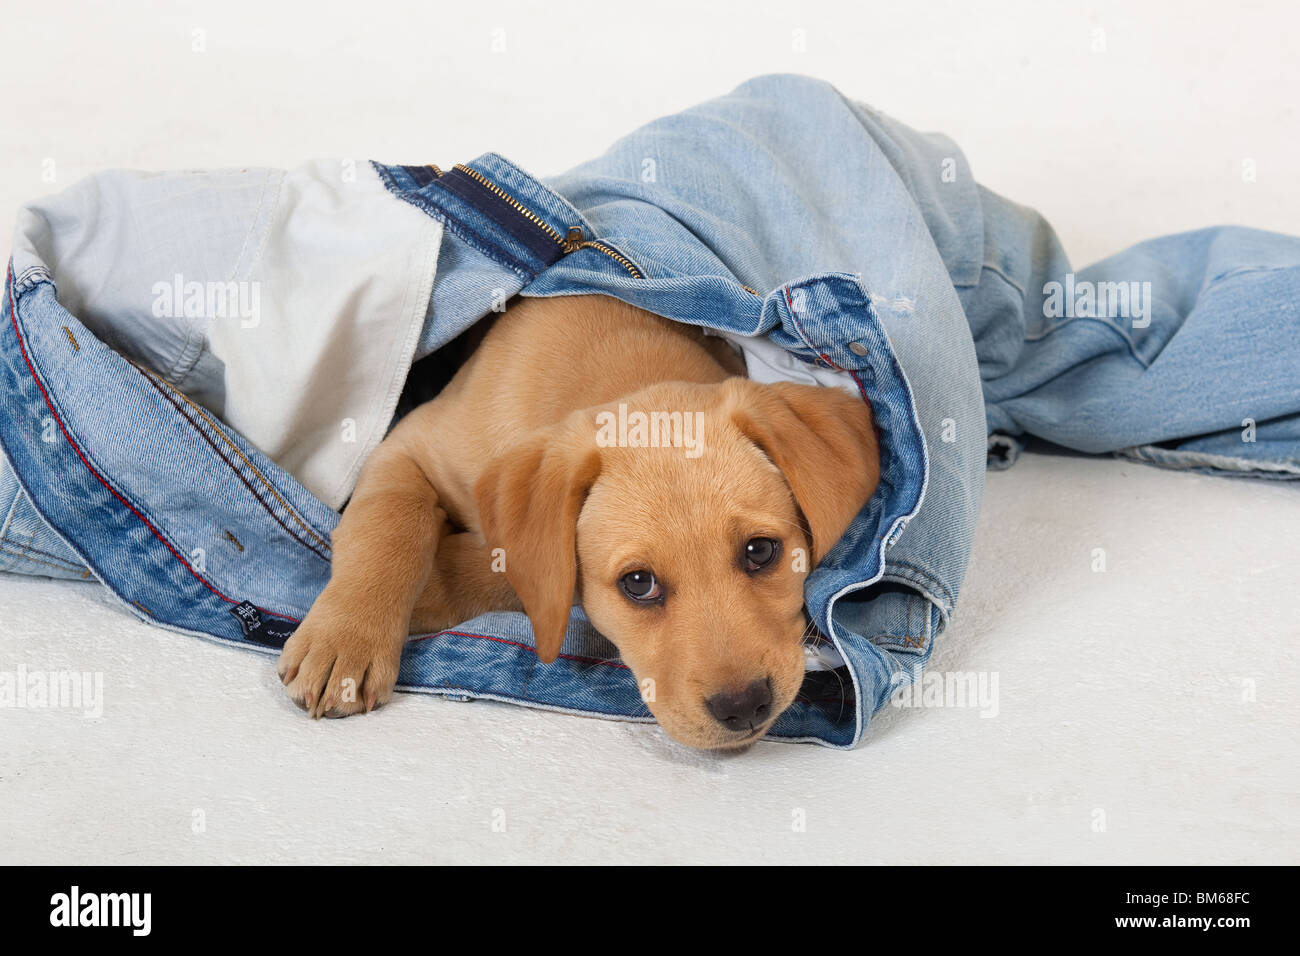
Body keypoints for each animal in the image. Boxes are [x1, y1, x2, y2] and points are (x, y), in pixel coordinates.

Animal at [278, 295, 878, 749]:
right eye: (638, 584)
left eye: (760, 551)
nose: (744, 706)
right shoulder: (407, 445)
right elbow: (388, 523)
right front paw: (346, 638)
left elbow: (516, 569)